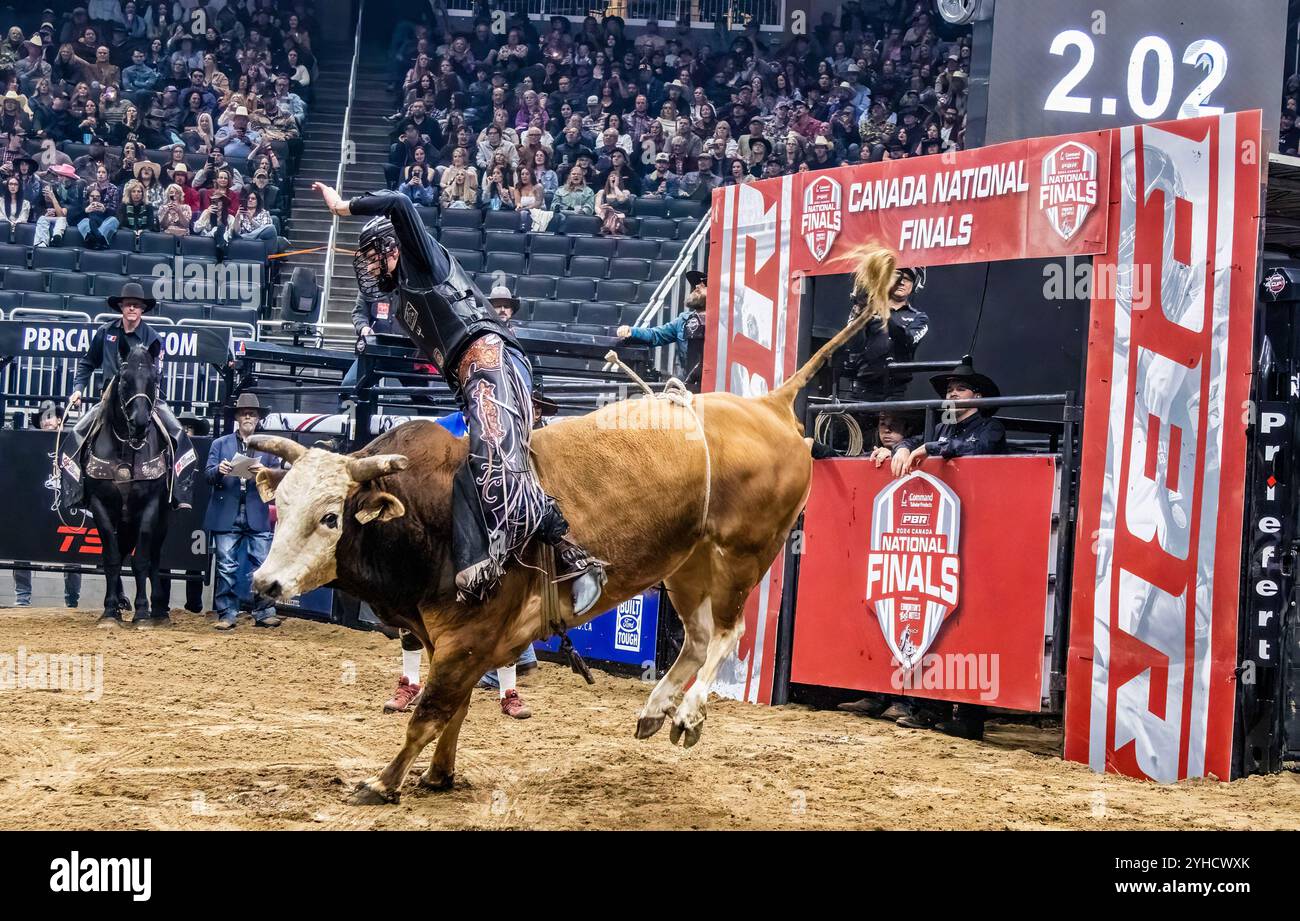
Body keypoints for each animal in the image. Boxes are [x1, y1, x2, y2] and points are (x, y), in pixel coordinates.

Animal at [81, 340, 174, 629]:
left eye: (154, 380)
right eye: (124, 380)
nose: (140, 422)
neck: (125, 446)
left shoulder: (150, 507)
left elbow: (141, 559)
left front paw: (143, 611)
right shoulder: (100, 506)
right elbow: (111, 557)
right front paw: (110, 611)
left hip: (161, 520)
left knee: (154, 557)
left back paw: (159, 609)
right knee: (120, 551)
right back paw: (121, 601)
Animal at [248, 248, 899, 801]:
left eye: (330, 517)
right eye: (282, 503)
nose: (264, 584)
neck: (432, 512)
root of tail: (771, 403)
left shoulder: (467, 638)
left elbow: (430, 714)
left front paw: (383, 782)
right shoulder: (456, 642)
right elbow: (452, 711)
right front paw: (439, 776)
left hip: (744, 553)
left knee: (729, 632)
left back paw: (688, 714)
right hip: (685, 564)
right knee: (696, 636)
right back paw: (656, 708)